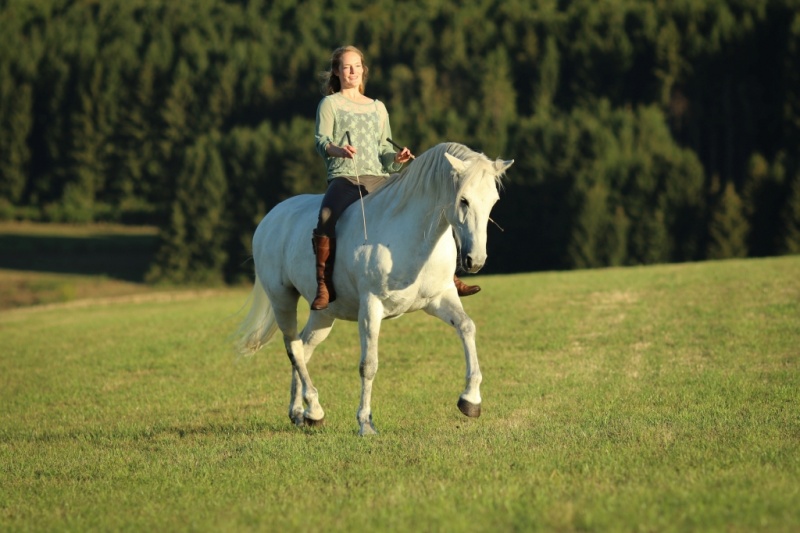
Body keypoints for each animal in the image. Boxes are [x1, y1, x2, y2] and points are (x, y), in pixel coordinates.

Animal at [238, 142, 512, 436]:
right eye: (463, 200)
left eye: (493, 201)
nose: (476, 261)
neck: (414, 238)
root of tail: (270, 219)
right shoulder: (371, 308)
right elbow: (368, 365)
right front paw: (365, 423)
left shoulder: (439, 299)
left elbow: (467, 327)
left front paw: (470, 401)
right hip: (283, 300)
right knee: (294, 348)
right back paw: (316, 409)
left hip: (323, 314)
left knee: (303, 345)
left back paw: (301, 413)